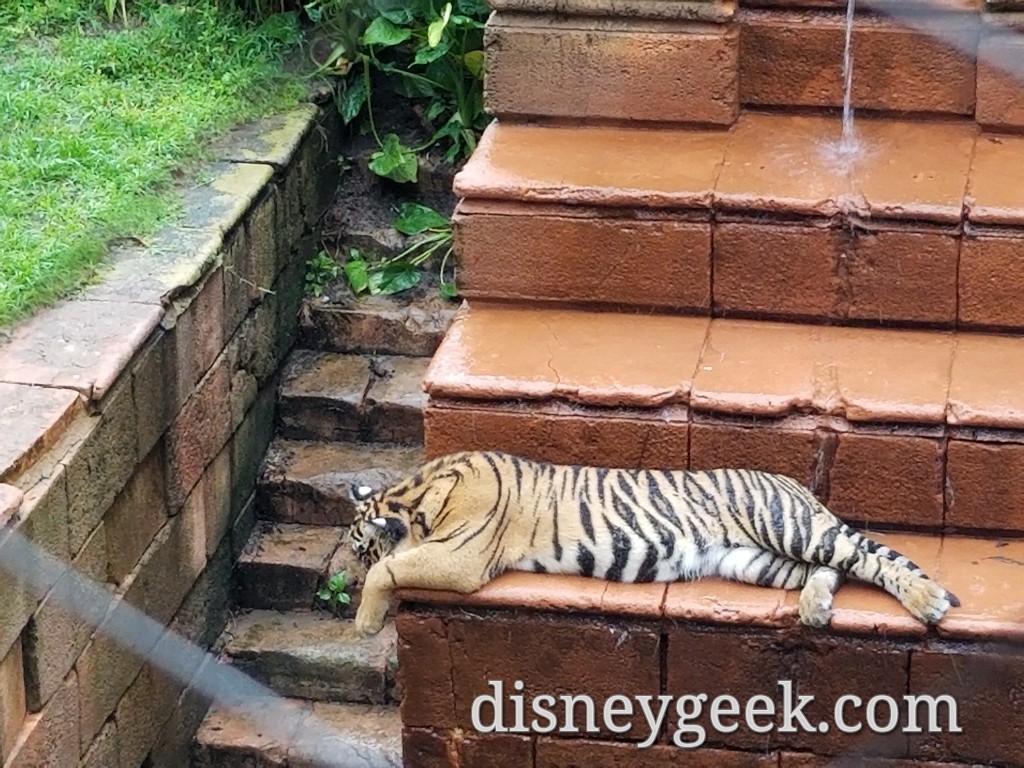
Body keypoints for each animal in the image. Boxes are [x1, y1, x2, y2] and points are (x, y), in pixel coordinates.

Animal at [344, 450, 958, 638]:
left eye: (357, 552)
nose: (340, 583)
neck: (415, 494)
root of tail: (796, 485)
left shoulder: (463, 557)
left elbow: (390, 570)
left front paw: (365, 622)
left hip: (787, 526)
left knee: (867, 559)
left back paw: (927, 601)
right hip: (755, 561)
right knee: (830, 571)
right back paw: (815, 607)